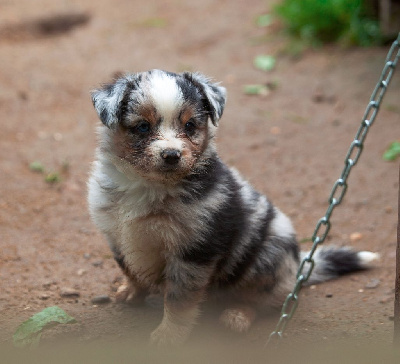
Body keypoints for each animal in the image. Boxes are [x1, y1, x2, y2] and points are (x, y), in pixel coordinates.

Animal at [87, 69, 378, 346]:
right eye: (143, 127)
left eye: (190, 125)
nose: (171, 155)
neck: (149, 185)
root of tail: (297, 267)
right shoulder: (116, 234)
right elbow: (128, 268)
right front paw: (131, 291)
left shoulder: (194, 251)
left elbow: (179, 301)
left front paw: (168, 336)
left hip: (266, 260)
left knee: (263, 299)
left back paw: (237, 316)